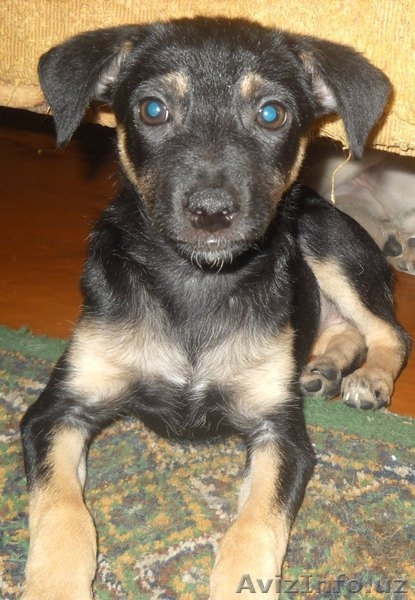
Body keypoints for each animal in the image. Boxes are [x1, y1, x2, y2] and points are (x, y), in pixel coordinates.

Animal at [20, 17, 411, 599]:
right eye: (152, 109)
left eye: (271, 113)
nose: (211, 213)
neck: (196, 284)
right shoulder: (54, 411)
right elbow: (63, 511)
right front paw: (55, 584)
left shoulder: (281, 436)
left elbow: (255, 527)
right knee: (344, 332)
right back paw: (321, 369)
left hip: (326, 244)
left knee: (390, 332)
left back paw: (370, 379)